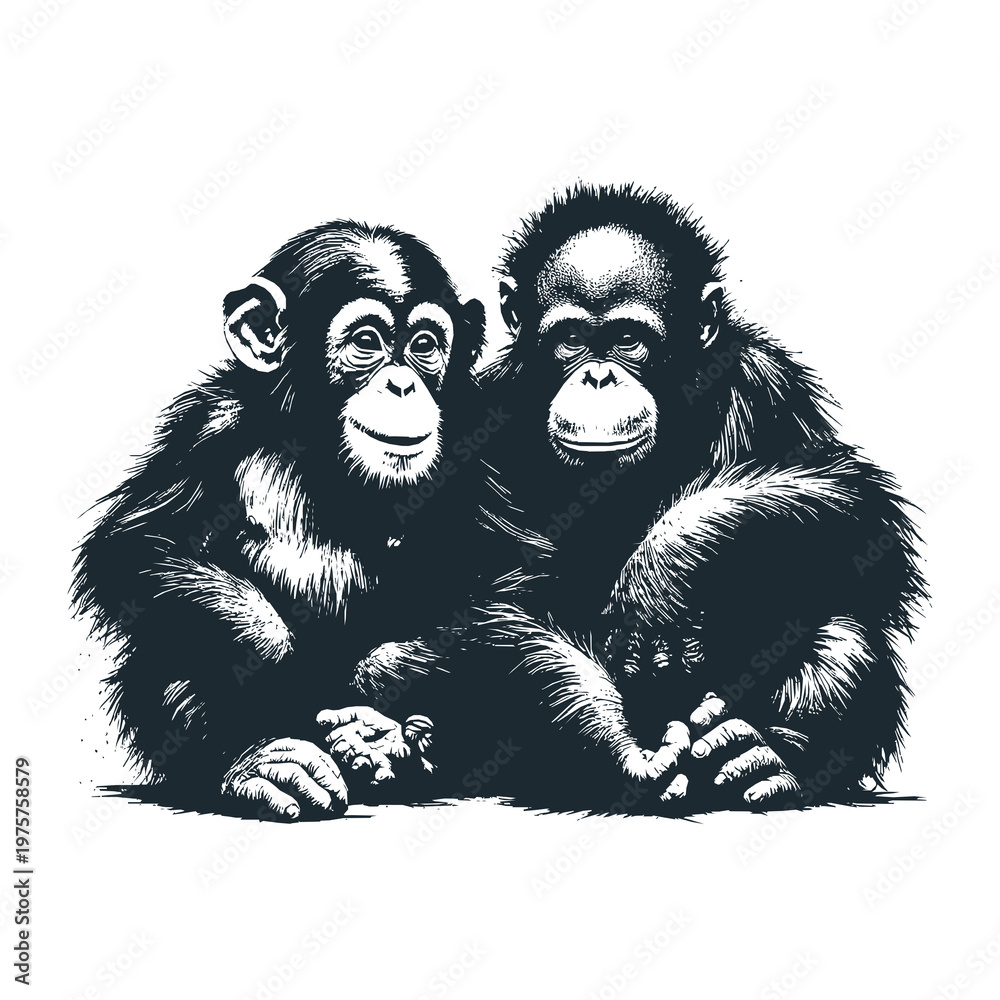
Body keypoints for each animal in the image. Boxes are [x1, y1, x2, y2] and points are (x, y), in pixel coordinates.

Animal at [73, 220, 487, 820]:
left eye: (424, 346)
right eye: (367, 342)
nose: (403, 384)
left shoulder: (478, 441)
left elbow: (510, 578)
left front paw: (378, 686)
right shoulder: (209, 424)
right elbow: (141, 541)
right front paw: (264, 644)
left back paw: (391, 746)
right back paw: (264, 763)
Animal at [450, 183, 925, 813]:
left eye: (628, 340)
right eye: (571, 340)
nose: (597, 377)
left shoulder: (762, 381)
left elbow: (851, 507)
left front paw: (662, 573)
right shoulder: (483, 421)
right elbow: (503, 593)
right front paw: (616, 749)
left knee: (844, 621)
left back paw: (763, 754)